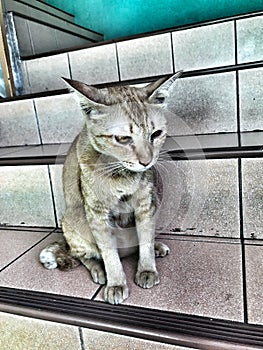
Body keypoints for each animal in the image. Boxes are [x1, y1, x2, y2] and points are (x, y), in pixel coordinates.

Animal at [39, 70, 184, 304]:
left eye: (156, 134)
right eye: (123, 138)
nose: (147, 161)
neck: (121, 174)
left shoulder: (146, 204)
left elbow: (145, 239)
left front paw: (146, 268)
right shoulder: (97, 214)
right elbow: (109, 254)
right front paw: (116, 282)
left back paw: (155, 247)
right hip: (73, 222)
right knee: (83, 255)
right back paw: (99, 270)